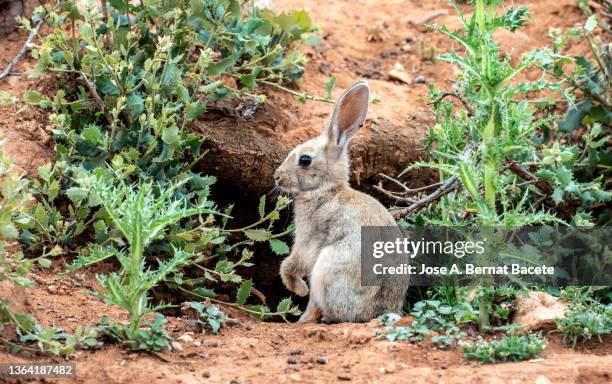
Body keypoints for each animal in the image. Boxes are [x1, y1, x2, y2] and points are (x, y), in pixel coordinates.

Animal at [272, 82, 406, 324]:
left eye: (304, 160)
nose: (276, 176)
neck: (326, 190)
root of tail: (375, 314)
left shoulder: (308, 241)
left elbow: (290, 265)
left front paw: (299, 290)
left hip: (326, 269)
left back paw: (304, 319)